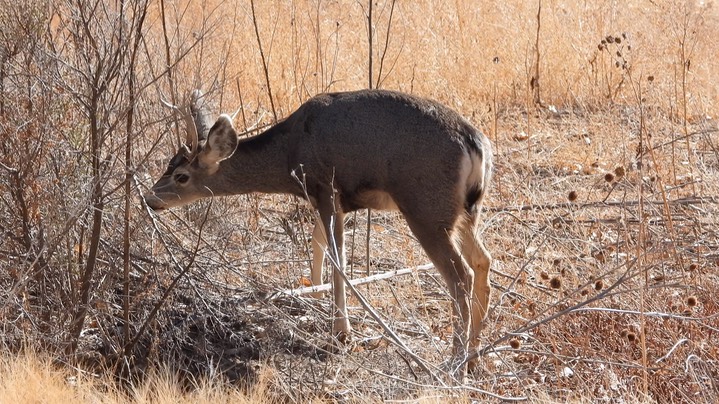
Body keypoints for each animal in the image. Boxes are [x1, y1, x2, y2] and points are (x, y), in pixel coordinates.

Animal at [146, 89, 496, 376]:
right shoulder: (321, 197)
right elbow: (317, 243)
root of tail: (476, 144)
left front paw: (341, 332)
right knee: (483, 260)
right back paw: (475, 357)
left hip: (426, 208)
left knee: (460, 275)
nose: (149, 198)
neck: (290, 150)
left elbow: (338, 259)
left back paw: (455, 363)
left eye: (181, 176)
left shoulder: (327, 187)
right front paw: (313, 293)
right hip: (467, 212)